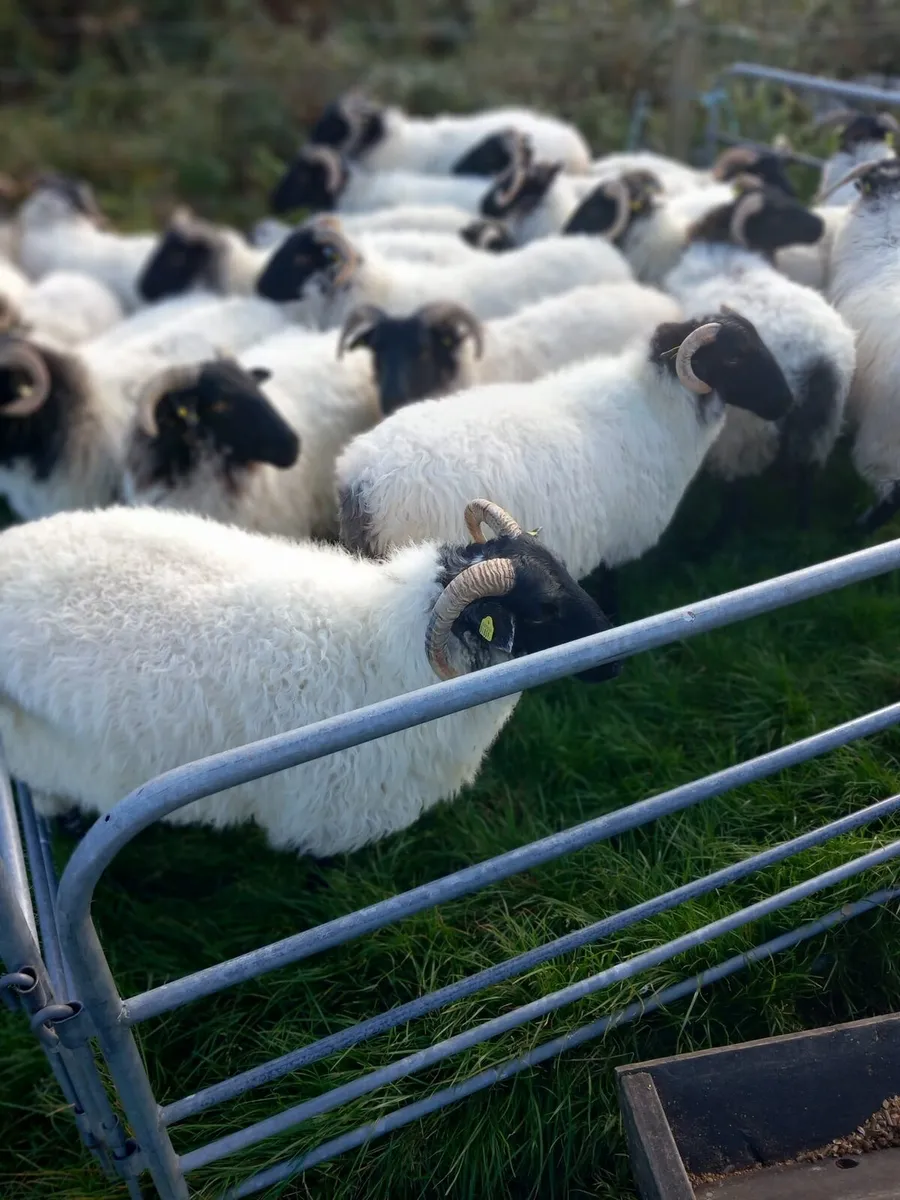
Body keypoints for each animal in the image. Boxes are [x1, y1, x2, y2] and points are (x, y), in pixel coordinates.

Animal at [335, 310, 793, 610]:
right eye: (733, 357)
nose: (786, 402)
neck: (656, 408)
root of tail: (361, 483)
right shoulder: (617, 541)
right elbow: (612, 592)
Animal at [663, 183, 857, 531]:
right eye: (777, 213)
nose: (820, 226)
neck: (722, 244)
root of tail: (816, 362)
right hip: (820, 429)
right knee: (805, 482)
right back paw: (801, 530)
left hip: (744, 437)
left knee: (736, 501)